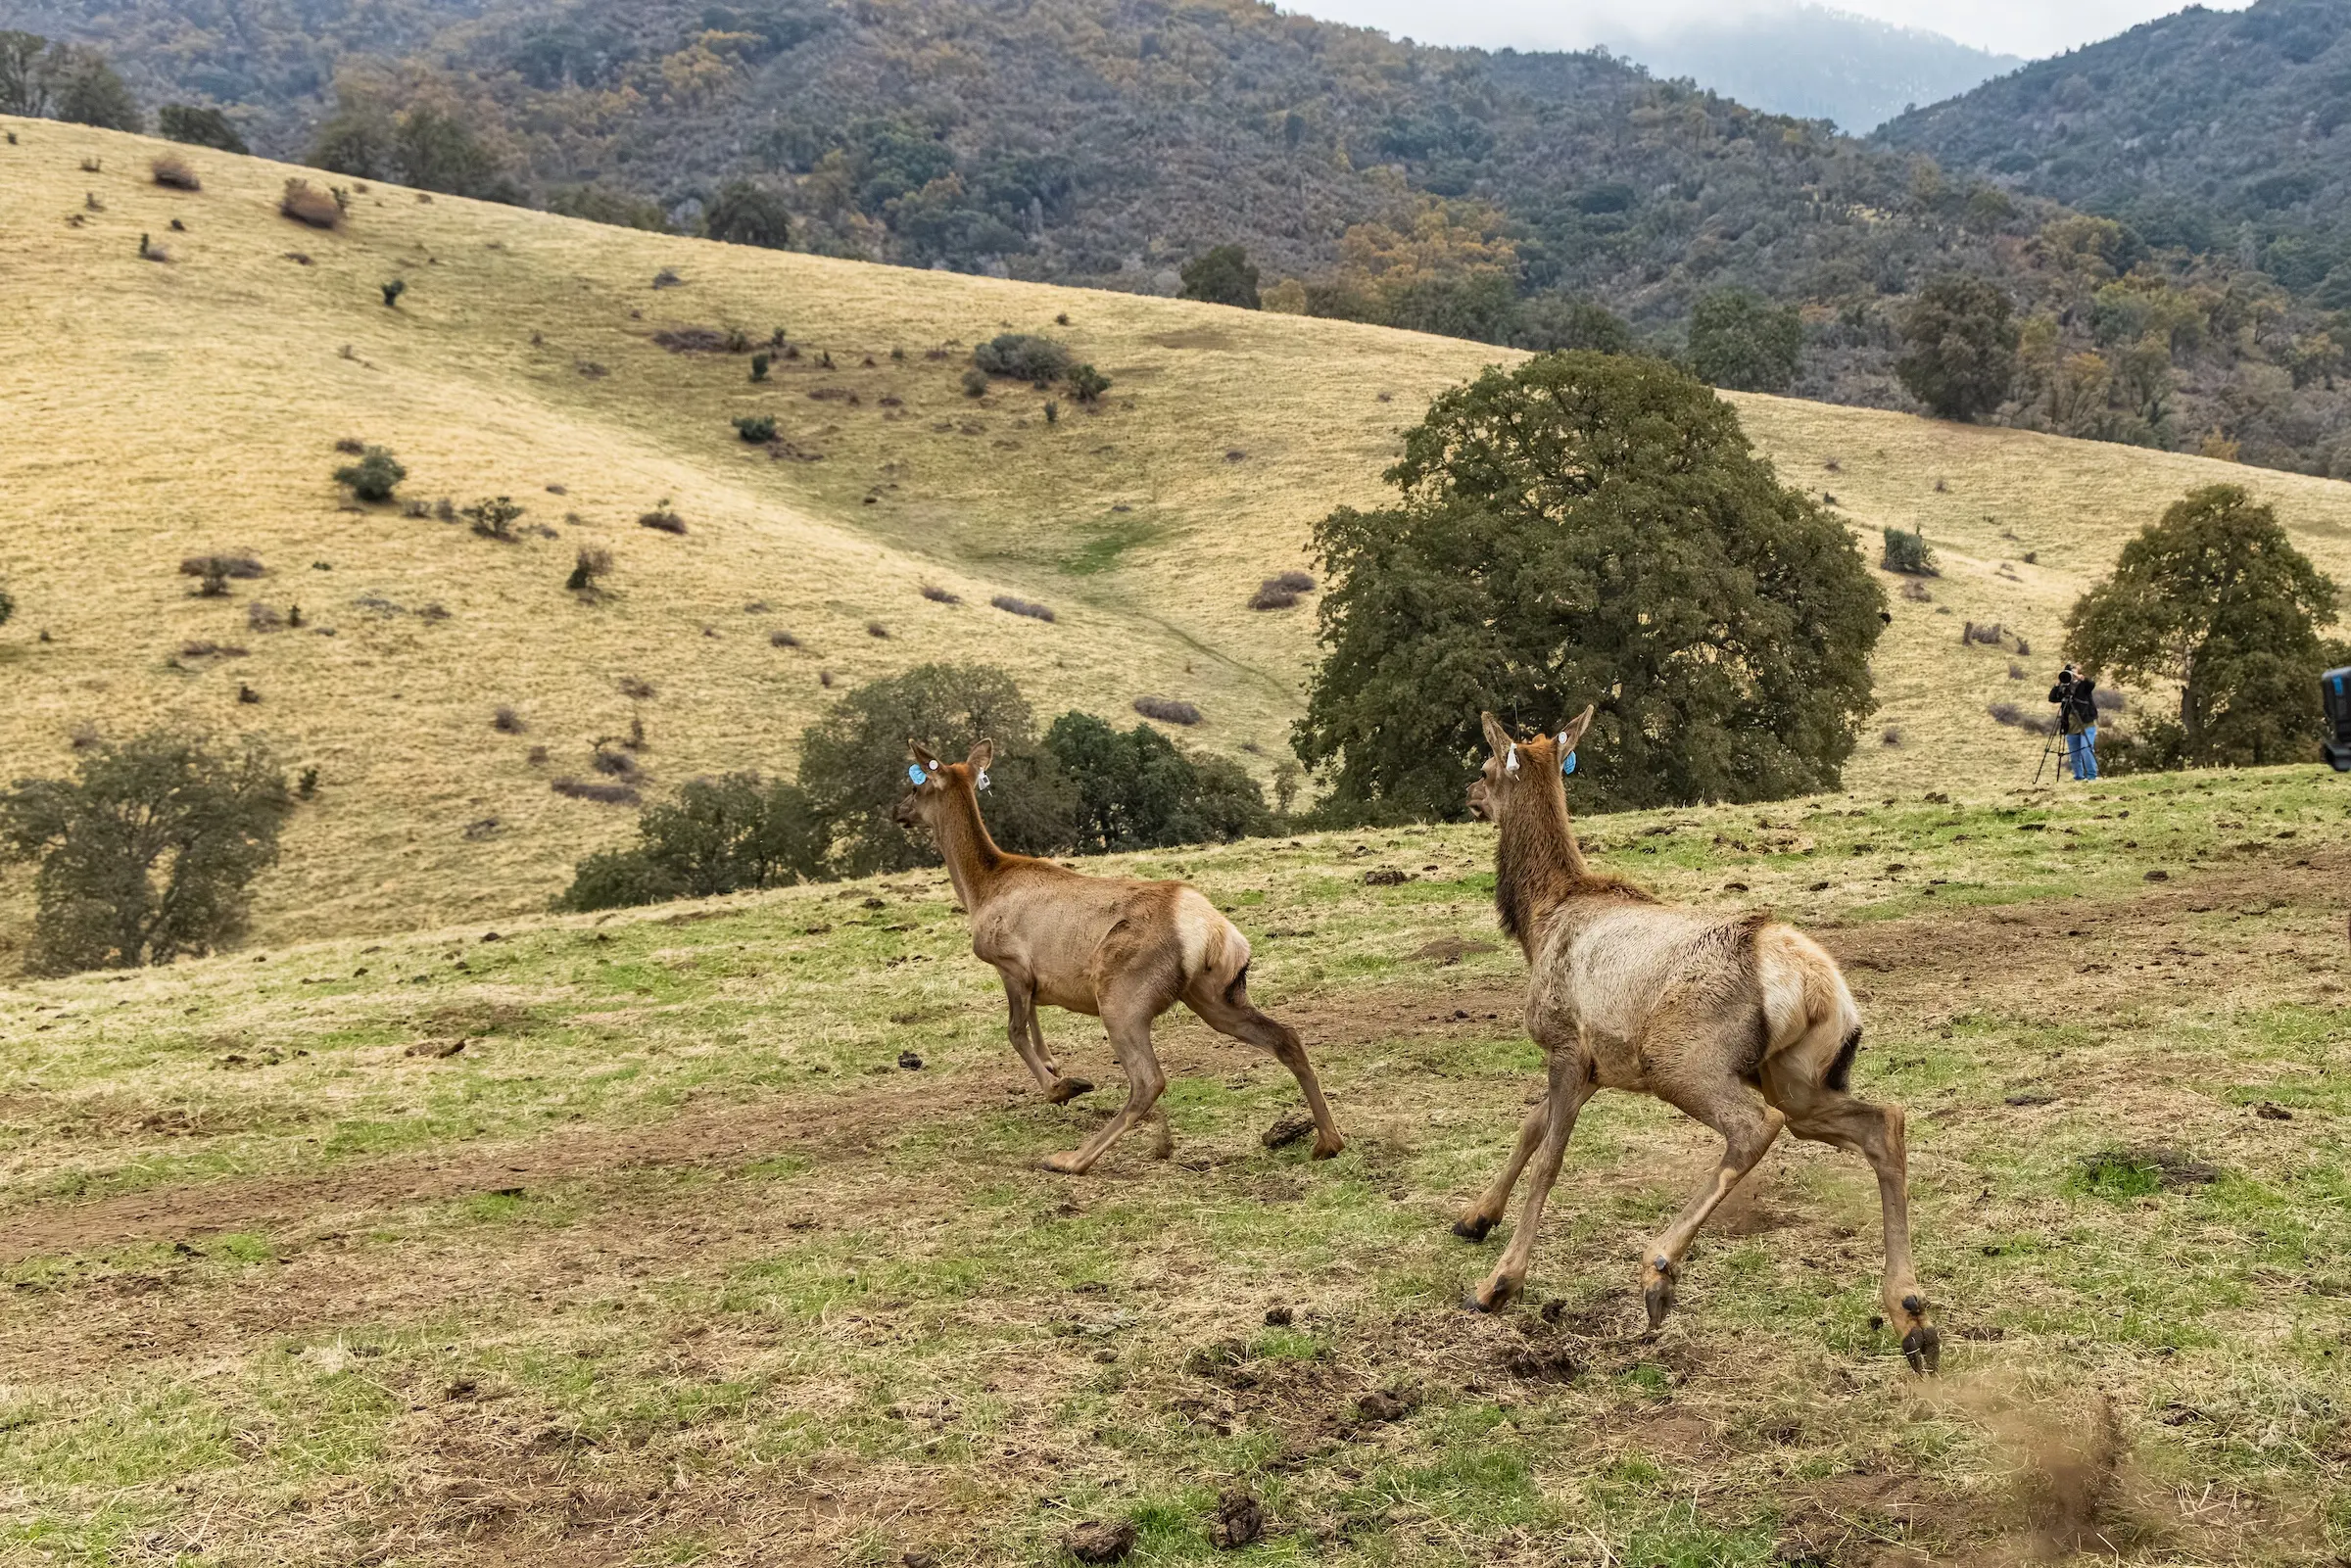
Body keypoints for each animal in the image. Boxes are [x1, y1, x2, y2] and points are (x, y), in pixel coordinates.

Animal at [893, 738, 1345, 1174]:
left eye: (916, 787)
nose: (898, 811)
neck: (981, 889)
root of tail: (1211, 929)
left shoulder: (1009, 962)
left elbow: (1016, 1032)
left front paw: (1063, 1087)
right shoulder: (1034, 978)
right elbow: (1036, 1028)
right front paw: (1056, 1068)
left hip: (1121, 993)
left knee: (1149, 1079)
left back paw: (1072, 1160)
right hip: (1214, 994)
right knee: (1286, 1036)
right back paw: (1327, 1141)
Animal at [1454, 707, 1940, 1373]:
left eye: (1483, 767)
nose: (1468, 796)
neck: (1538, 921)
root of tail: (1815, 984)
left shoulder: (1566, 1044)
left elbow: (1550, 1157)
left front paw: (1498, 1283)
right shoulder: (1597, 1065)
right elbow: (1530, 1128)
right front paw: (1474, 1218)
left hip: (1683, 1059)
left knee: (1754, 1126)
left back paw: (1658, 1267)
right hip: (1799, 1079)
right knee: (1884, 1121)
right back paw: (1912, 1315)